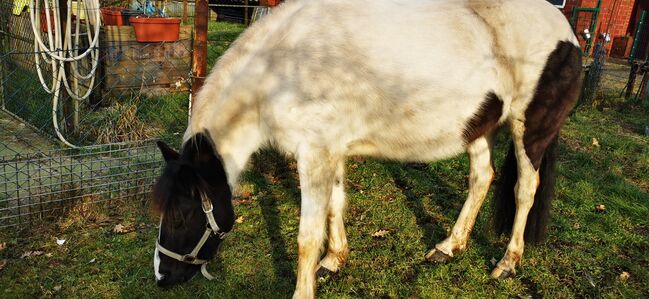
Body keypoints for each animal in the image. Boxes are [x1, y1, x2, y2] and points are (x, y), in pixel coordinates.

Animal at [151, 0, 584, 298]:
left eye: (180, 214)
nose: (161, 276)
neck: (284, 67)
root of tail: (567, 32)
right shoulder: (330, 150)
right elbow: (336, 206)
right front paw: (334, 261)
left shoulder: (315, 154)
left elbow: (307, 235)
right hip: (479, 127)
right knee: (482, 178)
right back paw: (449, 246)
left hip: (530, 129)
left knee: (524, 189)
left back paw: (508, 262)